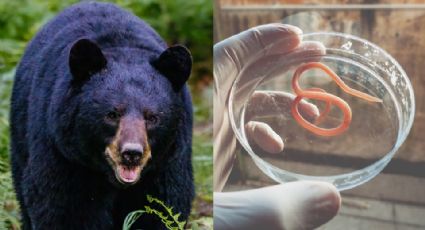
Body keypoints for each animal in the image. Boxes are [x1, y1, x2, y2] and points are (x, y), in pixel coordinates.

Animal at [10, 2, 194, 230]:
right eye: (112, 114)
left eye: (152, 117)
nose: (132, 153)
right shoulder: (63, 153)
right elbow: (63, 207)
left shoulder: (167, 162)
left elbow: (164, 205)